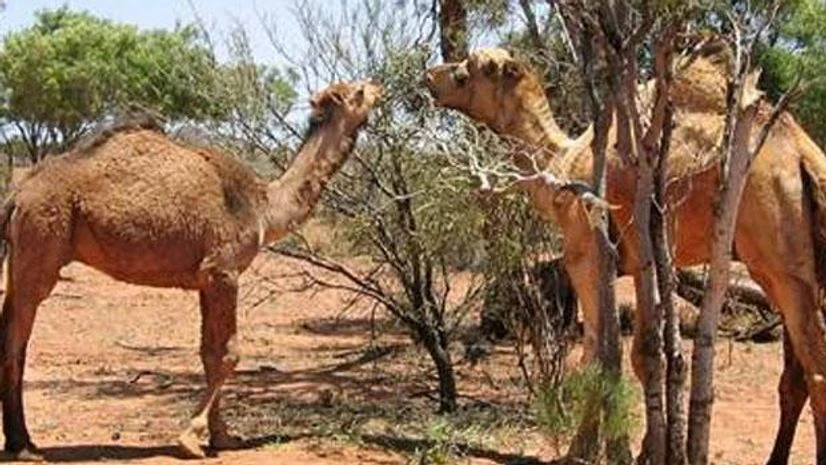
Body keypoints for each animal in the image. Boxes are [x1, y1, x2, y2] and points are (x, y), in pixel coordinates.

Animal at [0, 79, 381, 460]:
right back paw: (23, 446)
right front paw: (190, 438)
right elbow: (229, 354)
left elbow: (209, 353)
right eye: (359, 92)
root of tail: (17, 195)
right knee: (16, 337)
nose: (380, 88)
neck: (263, 207)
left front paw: (222, 437)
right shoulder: (223, 270)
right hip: (42, 242)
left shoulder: (205, 280)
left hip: (21, 253)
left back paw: (23, 441)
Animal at [426, 48, 826, 465]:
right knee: (798, 372)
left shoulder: (586, 253)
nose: (430, 77)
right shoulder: (640, 261)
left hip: (774, 257)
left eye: (465, 73)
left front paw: (585, 451)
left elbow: (600, 353)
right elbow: (647, 354)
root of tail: (802, 155)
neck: (563, 164)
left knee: (815, 370)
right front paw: (647, 450)